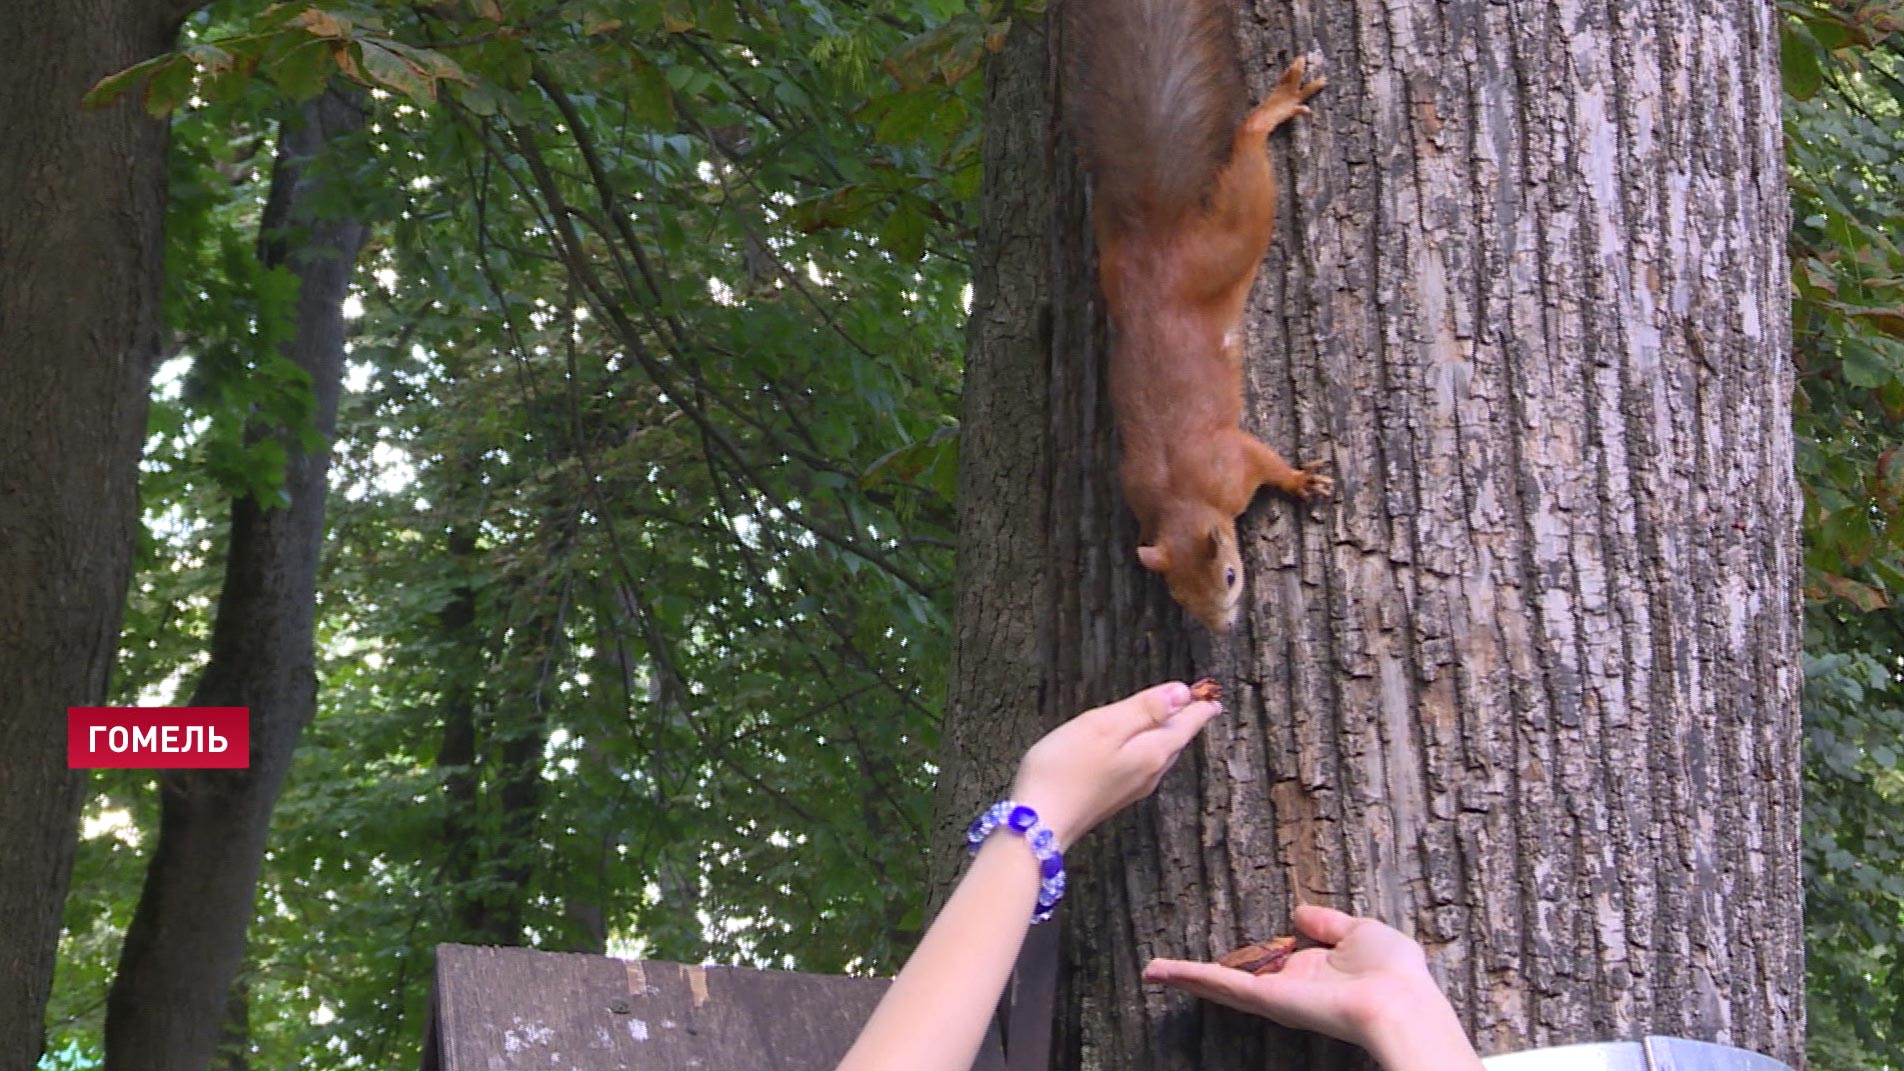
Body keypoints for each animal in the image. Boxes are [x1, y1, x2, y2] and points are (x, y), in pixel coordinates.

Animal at [1066, 0, 1332, 628]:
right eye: (1180, 597)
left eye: (1230, 576)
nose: (1223, 626)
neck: (1181, 497)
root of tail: (1156, 239)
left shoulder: (1232, 461)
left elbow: (1267, 461)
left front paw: (1299, 480)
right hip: (1118, 265)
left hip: (1226, 243)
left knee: (1249, 164)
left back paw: (1271, 111)